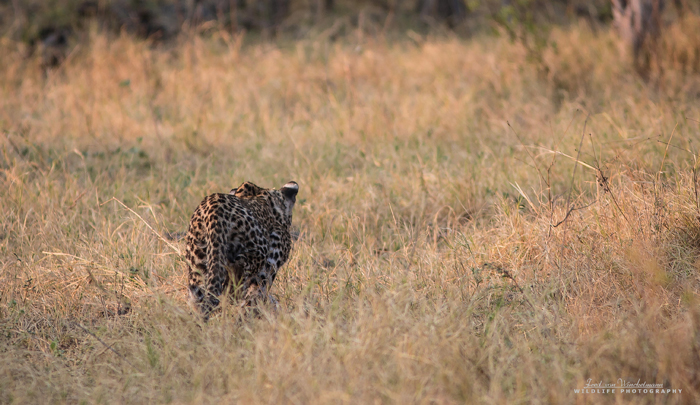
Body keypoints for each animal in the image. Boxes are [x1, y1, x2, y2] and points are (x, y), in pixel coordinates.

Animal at [185, 181, 296, 318]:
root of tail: (214, 211)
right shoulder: (269, 265)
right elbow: (256, 293)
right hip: (255, 255)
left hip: (197, 265)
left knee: (198, 297)